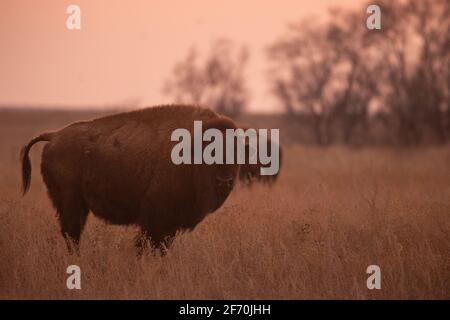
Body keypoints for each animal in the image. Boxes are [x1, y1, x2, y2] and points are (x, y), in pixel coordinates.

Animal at [21, 106, 239, 254]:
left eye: (236, 151)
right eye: (209, 150)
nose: (224, 181)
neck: (190, 149)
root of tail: (53, 136)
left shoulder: (170, 225)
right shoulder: (155, 220)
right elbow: (146, 245)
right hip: (71, 203)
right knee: (72, 234)